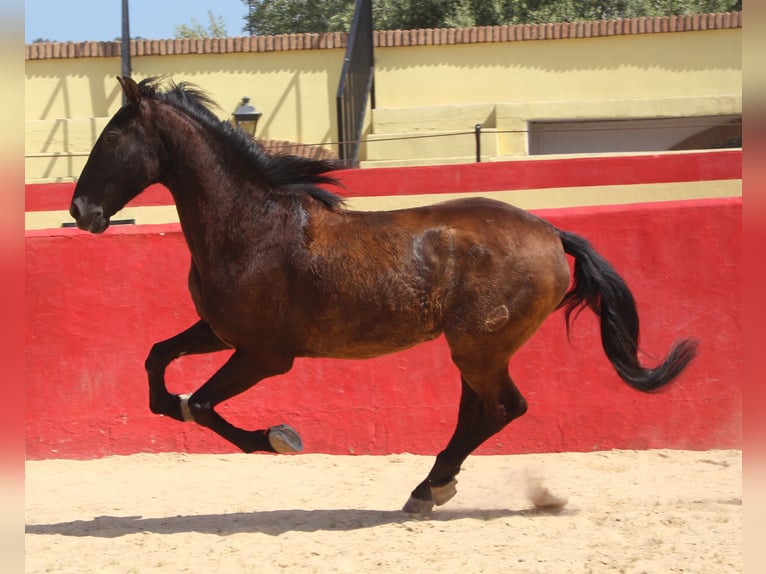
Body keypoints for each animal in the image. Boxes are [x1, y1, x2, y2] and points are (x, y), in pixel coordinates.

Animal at [69, 77, 700, 516]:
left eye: (112, 135)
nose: (81, 211)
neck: (252, 225)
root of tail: (552, 233)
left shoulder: (265, 355)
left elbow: (201, 405)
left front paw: (280, 438)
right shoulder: (220, 333)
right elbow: (157, 363)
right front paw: (173, 404)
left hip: (480, 346)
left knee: (503, 408)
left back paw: (428, 489)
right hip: (476, 349)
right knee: (478, 411)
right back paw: (434, 486)